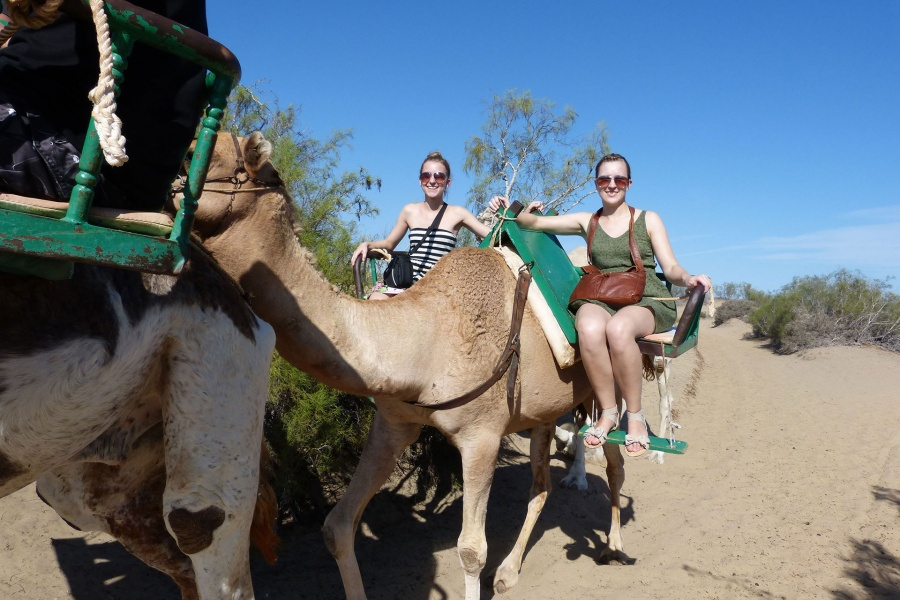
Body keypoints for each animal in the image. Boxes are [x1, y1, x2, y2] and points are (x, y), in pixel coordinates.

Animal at [33, 134, 624, 596]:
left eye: (203, 157)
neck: (424, 337)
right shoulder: (396, 422)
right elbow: (337, 526)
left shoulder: (481, 435)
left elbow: (470, 550)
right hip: (543, 411)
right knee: (541, 482)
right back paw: (511, 573)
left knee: (612, 460)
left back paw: (612, 545)